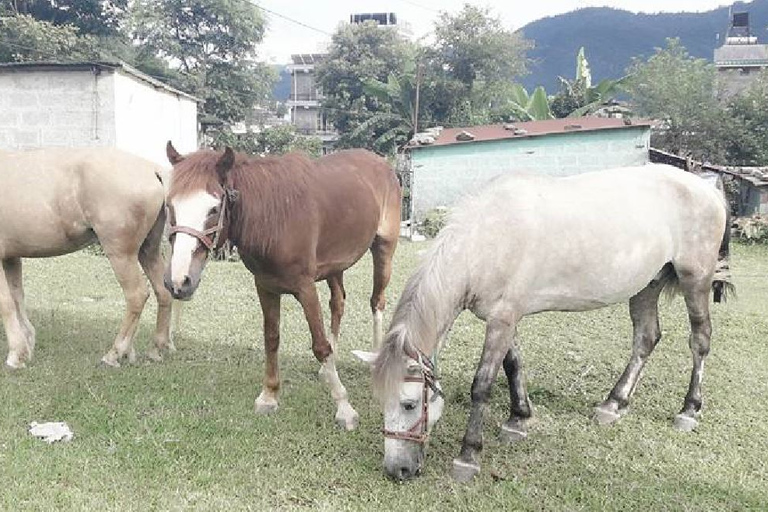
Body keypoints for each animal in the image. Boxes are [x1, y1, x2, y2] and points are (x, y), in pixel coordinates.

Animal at [0, 147, 174, 368]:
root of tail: (152, 170)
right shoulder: (11, 257)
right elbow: (17, 297)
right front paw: (26, 345)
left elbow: (5, 301)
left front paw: (16, 354)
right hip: (148, 251)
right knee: (163, 291)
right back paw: (154, 349)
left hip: (121, 254)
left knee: (136, 295)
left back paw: (114, 353)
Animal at [163, 142, 402, 430]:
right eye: (170, 206)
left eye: (213, 209)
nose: (179, 282)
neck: (275, 219)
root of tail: (381, 163)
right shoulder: (265, 286)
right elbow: (272, 338)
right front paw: (269, 395)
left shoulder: (305, 288)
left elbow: (319, 345)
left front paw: (344, 408)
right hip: (335, 266)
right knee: (338, 302)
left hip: (384, 248)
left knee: (377, 301)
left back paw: (376, 359)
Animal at [354, 164, 732, 480]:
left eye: (409, 404)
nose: (397, 470)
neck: (486, 240)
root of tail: (707, 186)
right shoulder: (505, 318)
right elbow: (513, 365)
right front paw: (518, 419)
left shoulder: (503, 319)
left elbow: (482, 385)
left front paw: (469, 455)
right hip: (646, 285)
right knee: (646, 338)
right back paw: (614, 403)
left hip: (695, 280)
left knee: (700, 340)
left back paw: (688, 410)